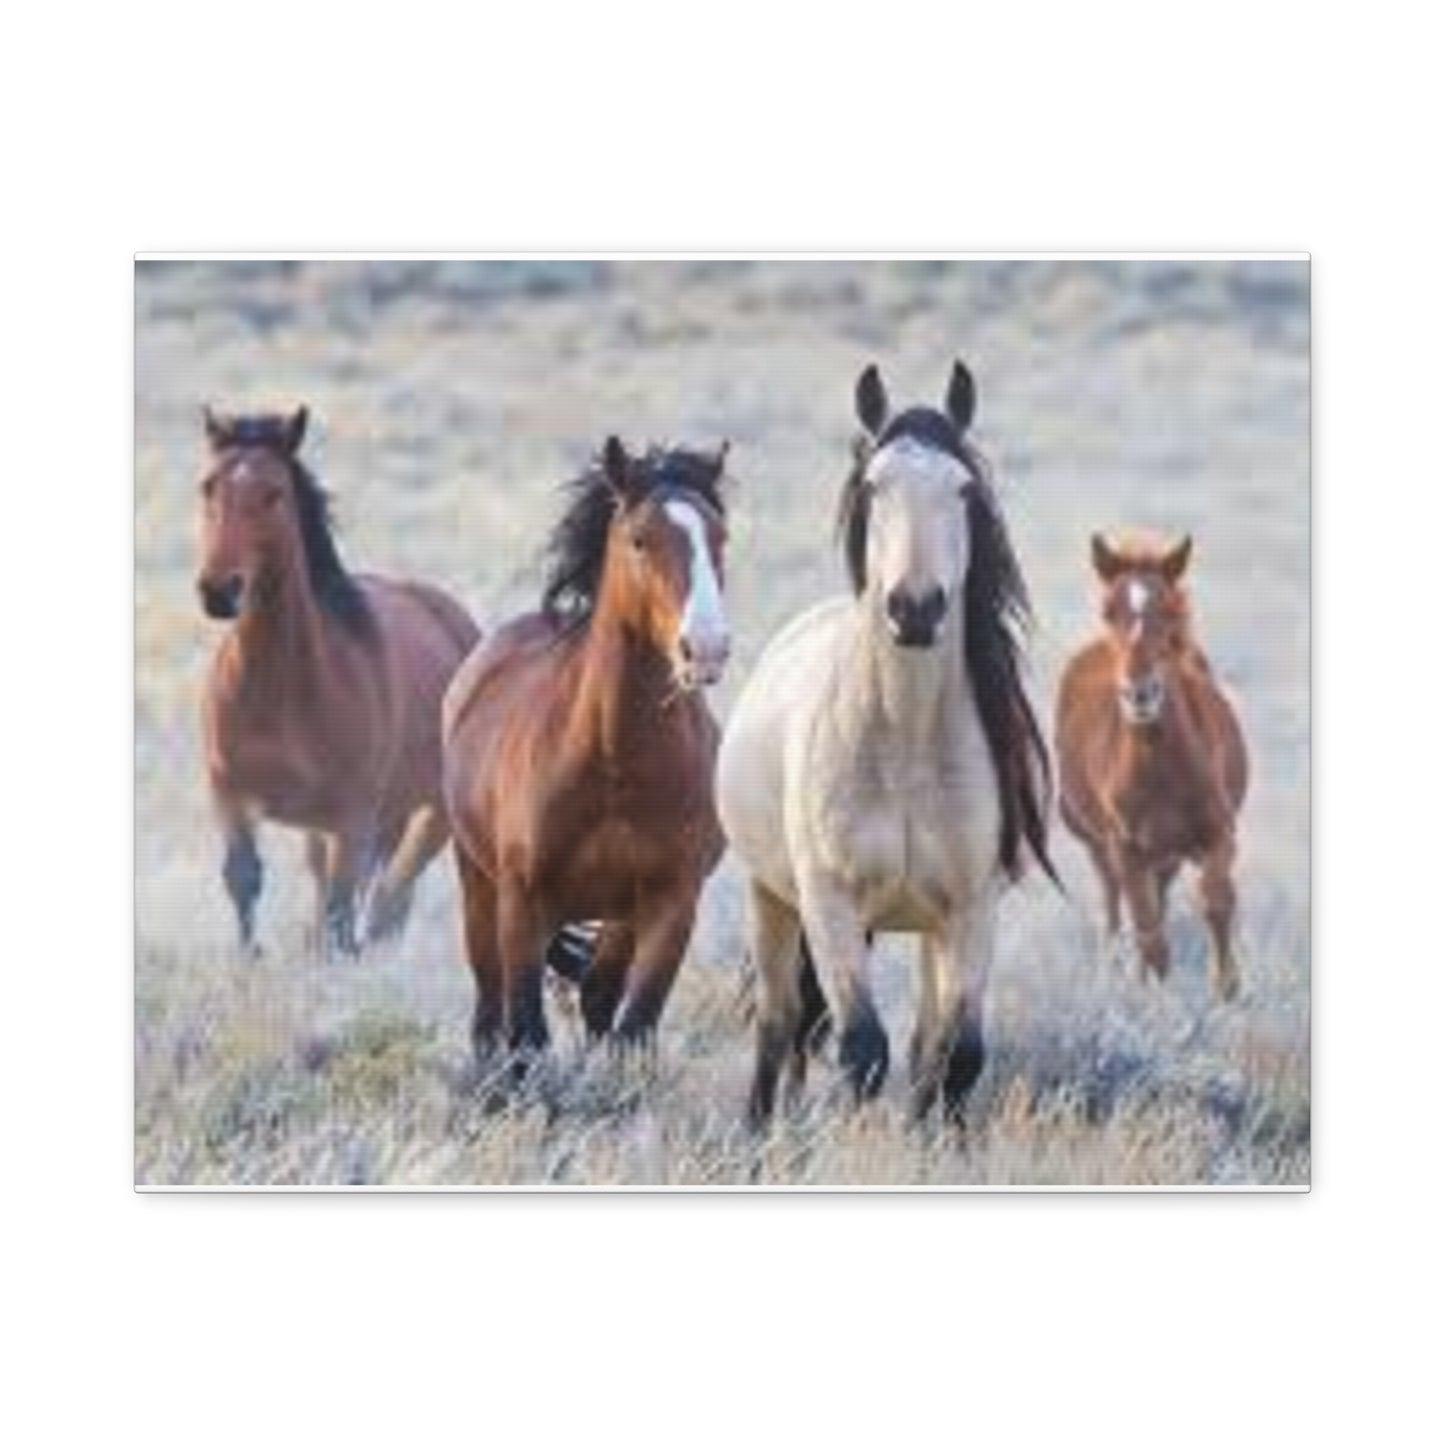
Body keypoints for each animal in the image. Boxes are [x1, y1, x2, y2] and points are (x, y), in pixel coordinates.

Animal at [195, 406, 480, 956]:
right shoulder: (231, 797)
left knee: (389, 898)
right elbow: (243, 879)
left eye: (274, 492)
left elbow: (342, 909)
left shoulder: (351, 818)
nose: (219, 591)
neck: (277, 692)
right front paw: (250, 959)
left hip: (428, 812)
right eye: (208, 487)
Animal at [442, 436, 732, 1062]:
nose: (706, 648)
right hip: (479, 886)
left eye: (721, 537)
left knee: (600, 995)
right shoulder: (523, 902)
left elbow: (633, 1027)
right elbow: (526, 1034)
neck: (613, 763)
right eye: (640, 539)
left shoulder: (671, 902)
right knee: (489, 1008)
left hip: (620, 919)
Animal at [717, 361, 1055, 1127]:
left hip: (929, 930)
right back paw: (760, 1131)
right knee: (780, 1023)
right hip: (769, 898)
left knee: (924, 1038)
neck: (904, 747)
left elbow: (955, 1057)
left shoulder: (971, 909)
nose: (915, 608)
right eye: (874, 485)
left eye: (963, 489)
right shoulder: (829, 904)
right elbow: (861, 1049)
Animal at [1055, 532, 1248, 1000]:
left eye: (1170, 611)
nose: (1139, 694)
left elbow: (1216, 899)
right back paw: (1114, 972)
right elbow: (1147, 930)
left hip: (1167, 854)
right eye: (1108, 610)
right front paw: (1160, 1002)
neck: (1161, 770)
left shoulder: (1218, 831)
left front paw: (1228, 990)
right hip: (1100, 845)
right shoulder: (1126, 848)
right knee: (1115, 906)